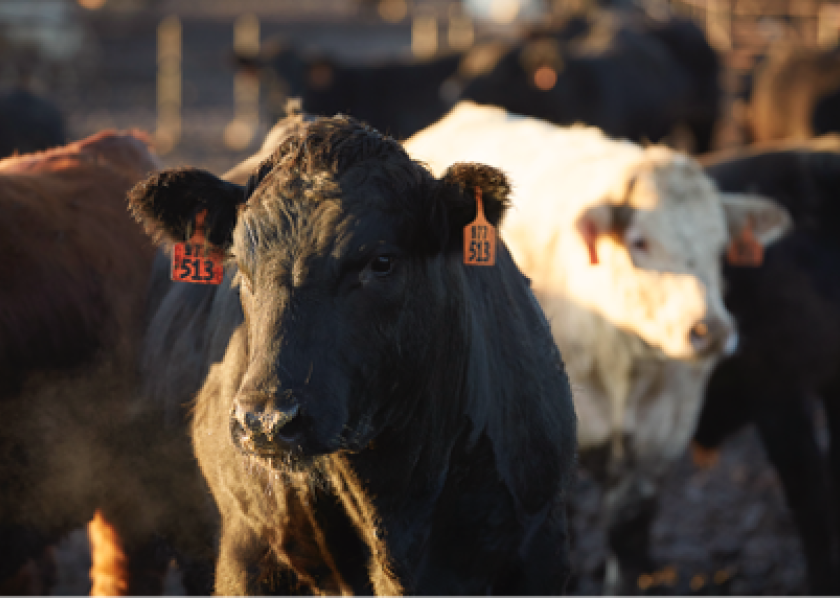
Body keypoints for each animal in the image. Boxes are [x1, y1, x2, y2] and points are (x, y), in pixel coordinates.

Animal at [405, 101, 791, 595]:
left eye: (721, 245)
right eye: (640, 241)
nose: (713, 330)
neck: (625, 364)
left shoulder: (660, 440)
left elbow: (627, 533)